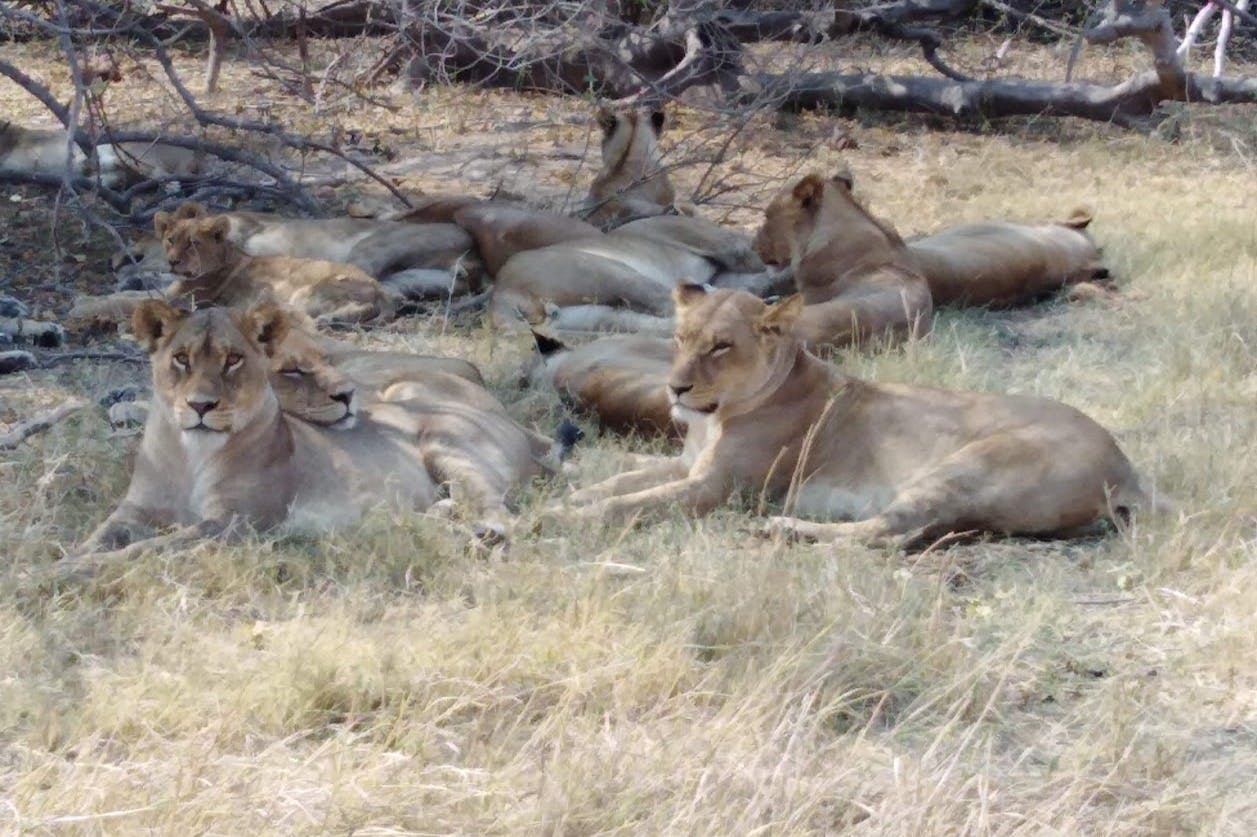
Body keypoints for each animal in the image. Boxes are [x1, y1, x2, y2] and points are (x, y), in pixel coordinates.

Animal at [71, 301, 440, 568]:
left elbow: (151, 547)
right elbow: (100, 535)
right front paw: (69, 558)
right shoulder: (135, 509)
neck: (191, 455)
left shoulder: (235, 523)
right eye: (181, 359)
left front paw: (79, 569)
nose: (200, 405)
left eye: (233, 359)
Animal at [556, 283, 1159, 544]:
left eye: (721, 346)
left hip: (967, 466)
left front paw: (568, 517)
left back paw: (785, 528)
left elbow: (632, 504)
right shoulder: (688, 467)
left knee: (890, 533)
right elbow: (625, 479)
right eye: (681, 338)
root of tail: (1125, 462)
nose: (675, 387)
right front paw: (575, 494)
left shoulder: (715, 488)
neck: (714, 416)